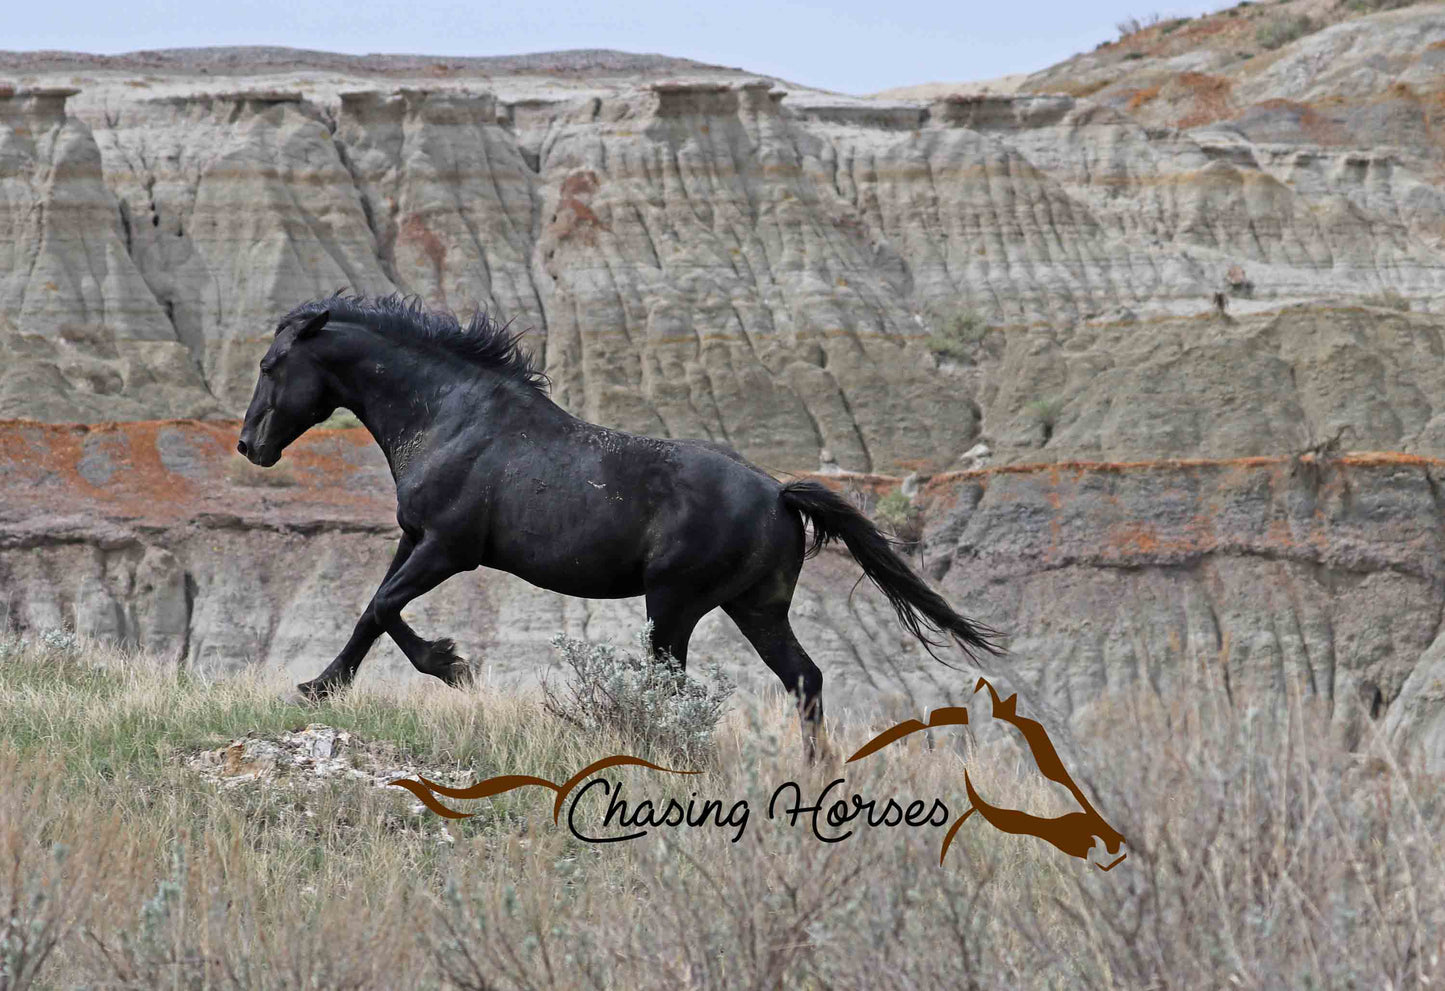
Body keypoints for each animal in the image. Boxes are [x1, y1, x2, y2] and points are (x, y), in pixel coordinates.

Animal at [237, 293, 1003, 760]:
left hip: (675, 604)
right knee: (804, 678)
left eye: (272, 364)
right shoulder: (412, 538)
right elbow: (373, 610)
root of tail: (778, 494)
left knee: (678, 684)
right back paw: (816, 773)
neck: (451, 416)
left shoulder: (448, 549)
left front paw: (448, 666)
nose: (249, 445)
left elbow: (385, 607)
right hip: (753, 607)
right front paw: (326, 684)